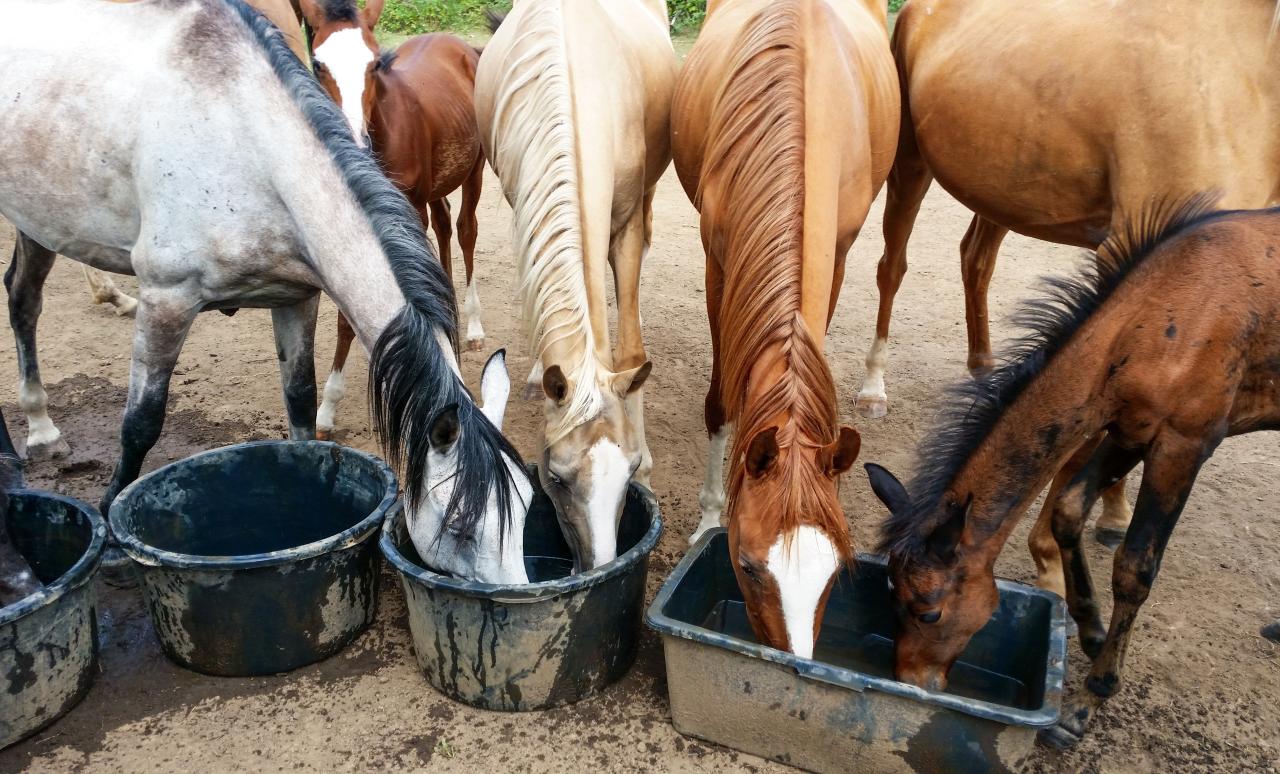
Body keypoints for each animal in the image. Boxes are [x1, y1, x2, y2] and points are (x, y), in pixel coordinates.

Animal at [296, 0, 489, 440]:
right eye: (318, 63)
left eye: (374, 63)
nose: (354, 140)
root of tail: (462, 47)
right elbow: (348, 317)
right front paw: (326, 409)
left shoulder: (408, 210)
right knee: (444, 224)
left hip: (473, 170)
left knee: (465, 230)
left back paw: (471, 329)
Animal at [475, 0, 676, 571]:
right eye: (558, 478)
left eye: (627, 473)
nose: (601, 566)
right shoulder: (524, 205)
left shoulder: (624, 224)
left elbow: (628, 349)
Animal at [672, 0, 898, 657]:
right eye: (747, 566)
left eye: (837, 572)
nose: (791, 663)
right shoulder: (719, 262)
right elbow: (723, 402)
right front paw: (708, 516)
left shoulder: (838, 253)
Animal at [851, 0, 1280, 587]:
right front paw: (1052, 560)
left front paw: (1112, 513)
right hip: (911, 165)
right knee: (892, 268)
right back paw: (875, 386)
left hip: (1002, 187)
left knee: (975, 259)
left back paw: (986, 375)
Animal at [865, 198, 1280, 746]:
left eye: (928, 610)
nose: (912, 680)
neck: (1162, 319)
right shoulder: (1129, 431)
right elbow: (1066, 509)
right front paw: (1092, 631)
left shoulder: (1182, 445)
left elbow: (1135, 567)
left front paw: (1086, 702)